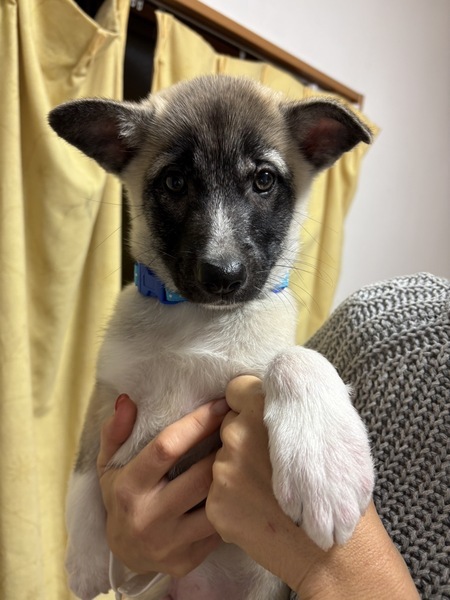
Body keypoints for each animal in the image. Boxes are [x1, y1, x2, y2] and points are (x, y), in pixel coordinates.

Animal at [49, 75, 374, 600]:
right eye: (175, 182)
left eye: (263, 180)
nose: (222, 276)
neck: (198, 319)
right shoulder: (108, 392)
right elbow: (82, 468)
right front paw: (84, 560)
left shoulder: (253, 372)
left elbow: (295, 358)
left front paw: (325, 470)